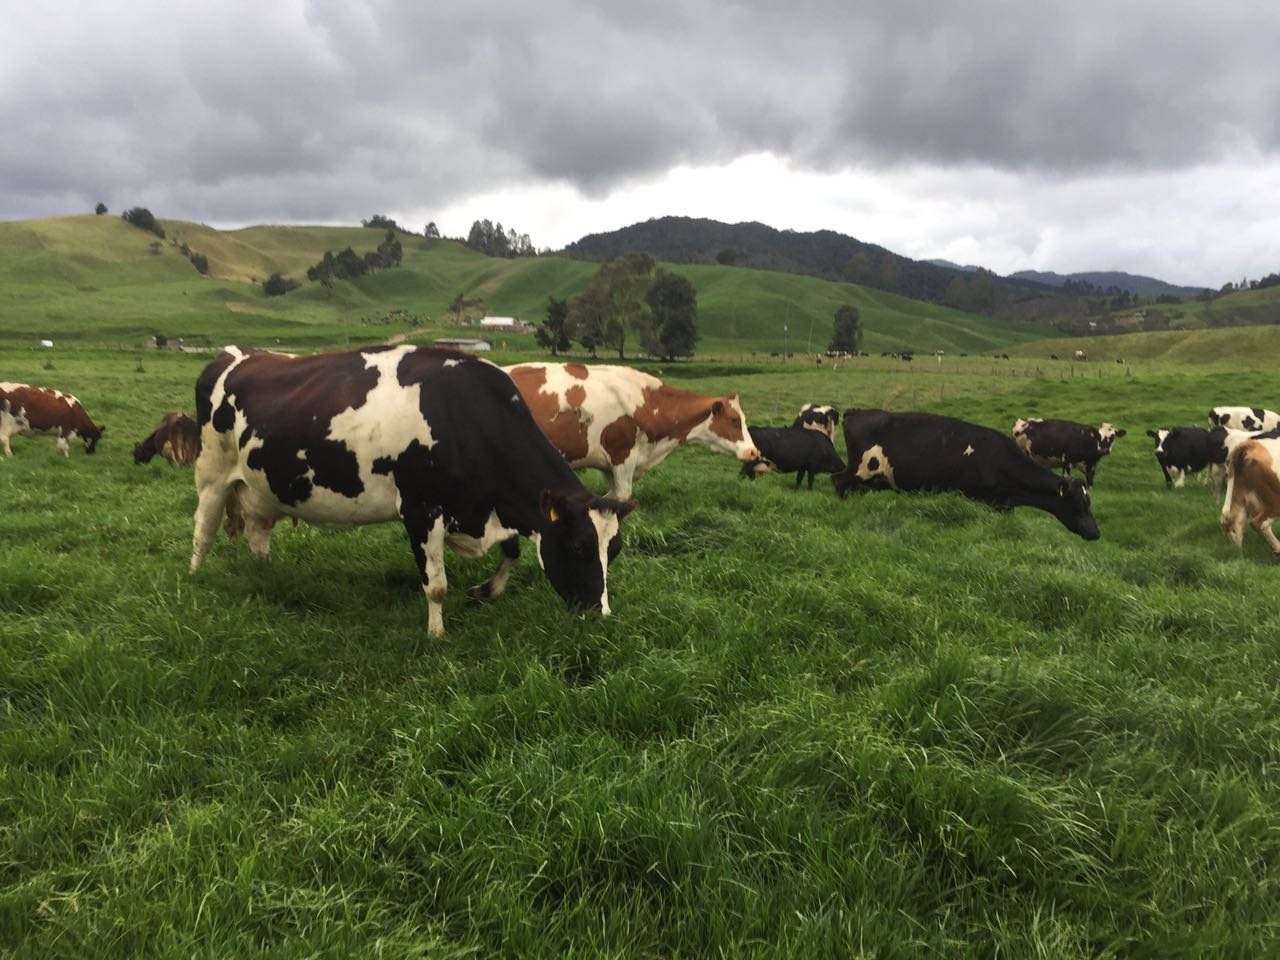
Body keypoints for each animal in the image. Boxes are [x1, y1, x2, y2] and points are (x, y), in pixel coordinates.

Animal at [190, 345, 636, 637]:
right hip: (212, 471)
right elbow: (435, 584)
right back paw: (195, 580)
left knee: (258, 530)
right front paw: (436, 635)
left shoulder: (484, 509)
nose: (599, 614)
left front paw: (486, 591)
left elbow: (511, 550)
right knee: (203, 528)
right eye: (578, 546)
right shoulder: (421, 509)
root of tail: (235, 355)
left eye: (613, 550)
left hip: (262, 486)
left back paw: (266, 574)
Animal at [832, 409, 1099, 540]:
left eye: (1089, 502)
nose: (1095, 533)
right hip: (859, 470)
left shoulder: (1002, 505)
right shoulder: (972, 497)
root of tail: (855, 413)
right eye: (1078, 504)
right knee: (837, 481)